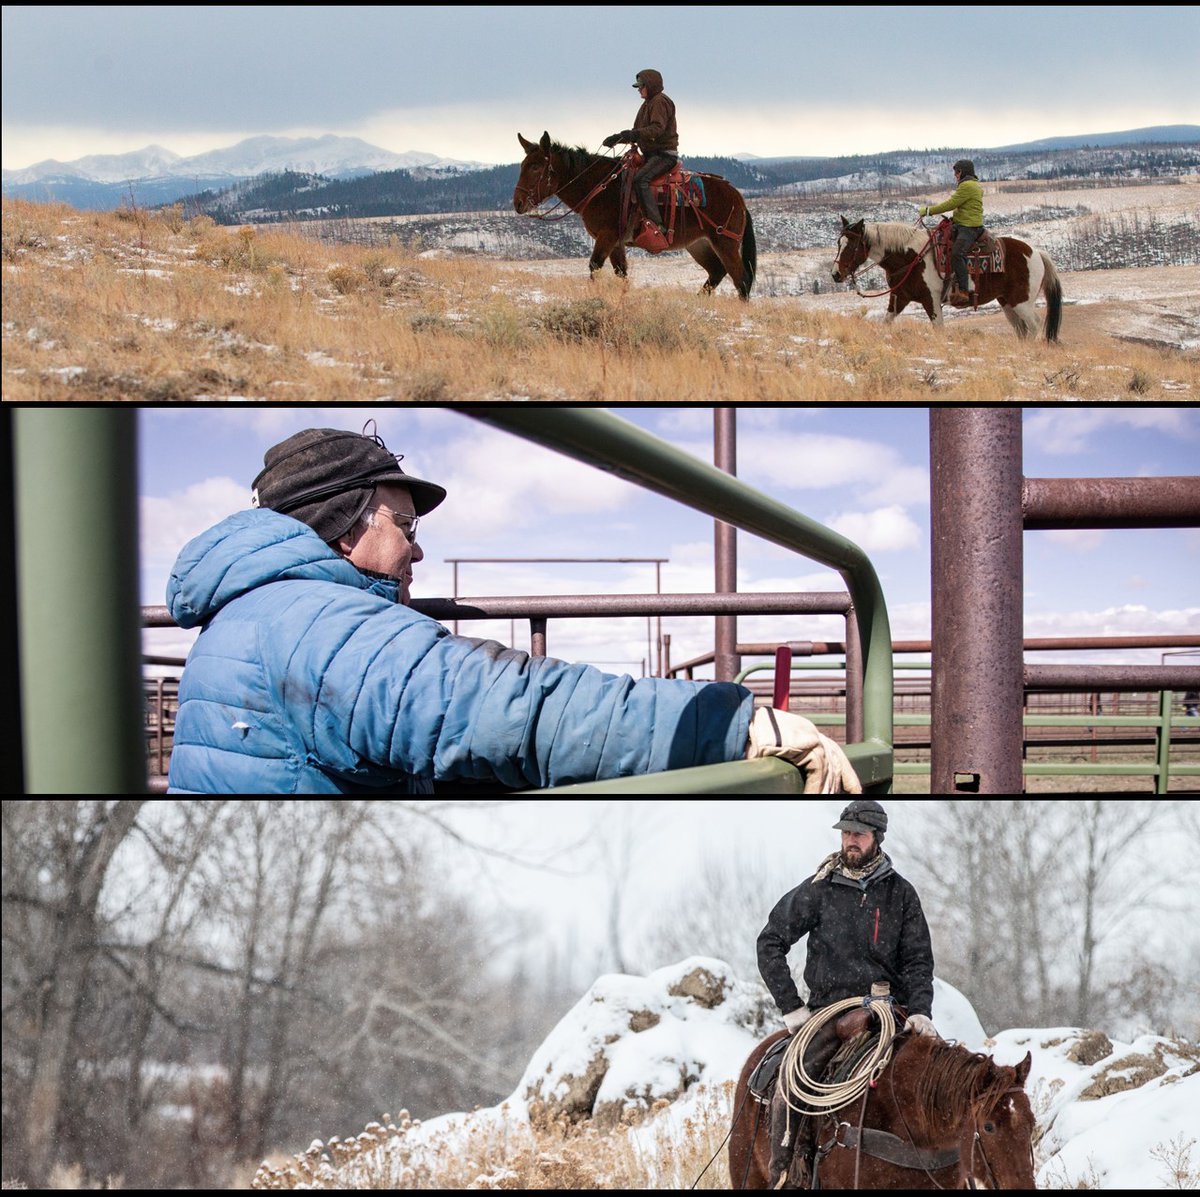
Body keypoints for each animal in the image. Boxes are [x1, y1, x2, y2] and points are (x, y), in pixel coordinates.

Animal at [511, 129, 753, 299]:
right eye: (522, 165)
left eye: (535, 167)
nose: (518, 203)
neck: (601, 187)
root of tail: (737, 196)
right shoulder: (616, 242)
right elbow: (621, 273)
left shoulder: (607, 236)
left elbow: (595, 266)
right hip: (698, 244)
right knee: (717, 272)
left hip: (725, 242)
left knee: (741, 279)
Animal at [835, 217, 1060, 343]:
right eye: (839, 243)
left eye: (851, 245)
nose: (836, 274)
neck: (912, 257)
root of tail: (1037, 253)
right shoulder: (900, 297)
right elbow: (887, 321)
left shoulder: (931, 299)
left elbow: (938, 328)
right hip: (1006, 302)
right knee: (1021, 328)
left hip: (1021, 301)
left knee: (1033, 324)